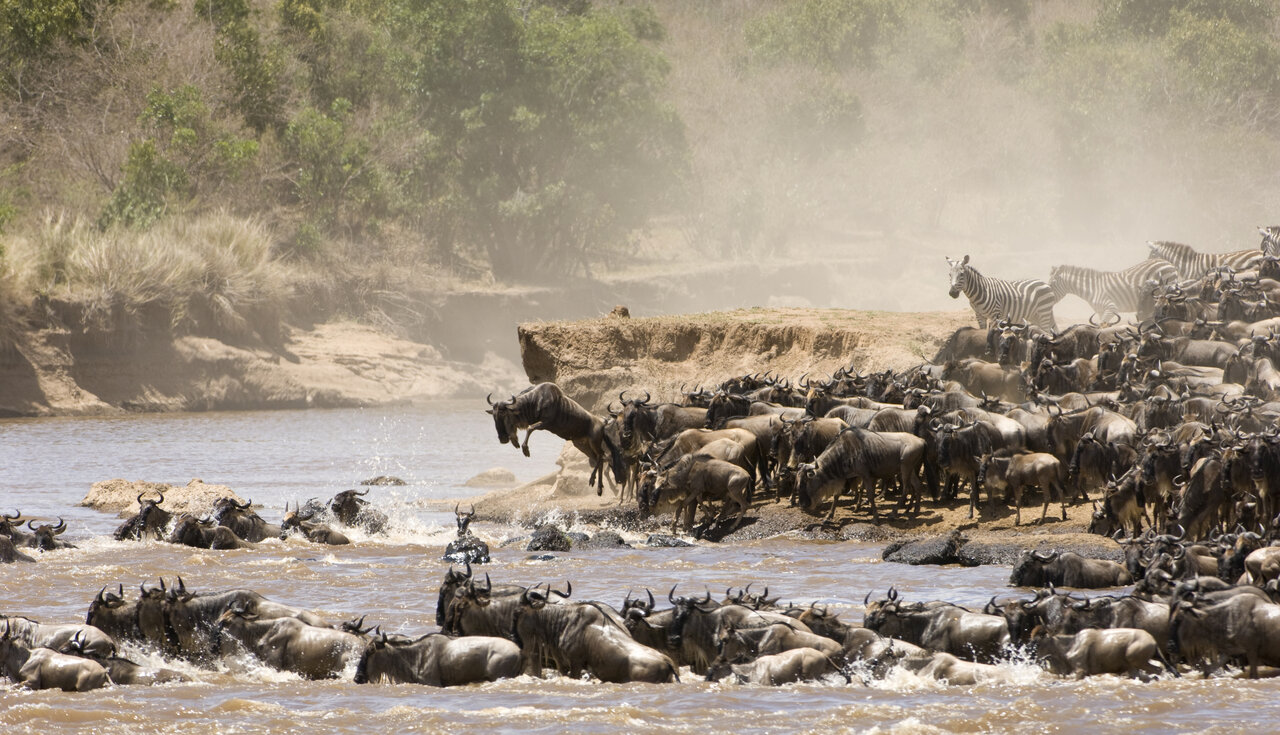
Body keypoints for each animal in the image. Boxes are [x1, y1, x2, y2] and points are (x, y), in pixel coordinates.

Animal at [1048, 259, 1178, 323]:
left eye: (1051, 284)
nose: (1049, 300)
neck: (1093, 289)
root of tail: (1169, 263)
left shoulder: (1111, 308)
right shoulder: (1101, 312)